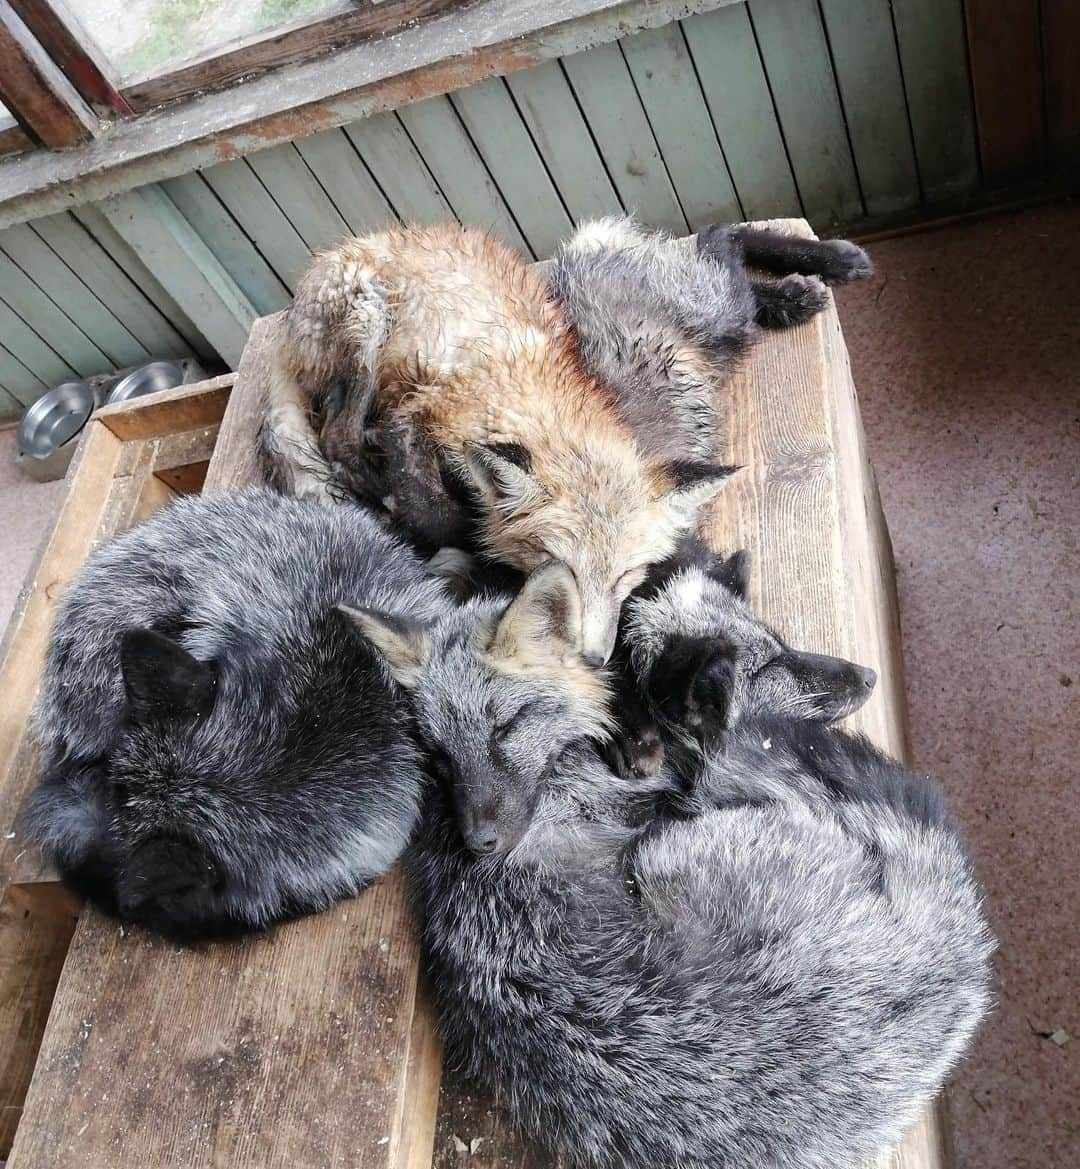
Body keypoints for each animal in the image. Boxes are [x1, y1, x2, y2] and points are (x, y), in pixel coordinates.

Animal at [259, 216, 869, 663]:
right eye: (561, 571)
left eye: (623, 577)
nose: (591, 657)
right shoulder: (421, 413)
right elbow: (435, 511)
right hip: (366, 325)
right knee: (339, 440)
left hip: (723, 316)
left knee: (719, 238)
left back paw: (813, 275)